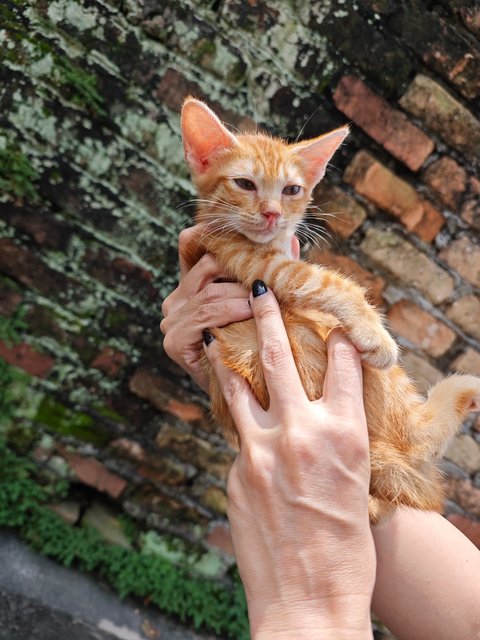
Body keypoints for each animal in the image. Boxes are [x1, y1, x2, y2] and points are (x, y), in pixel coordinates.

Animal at [180, 97, 480, 524]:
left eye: (292, 190)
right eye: (244, 184)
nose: (272, 214)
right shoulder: (257, 265)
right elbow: (329, 283)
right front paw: (374, 332)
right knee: (417, 440)